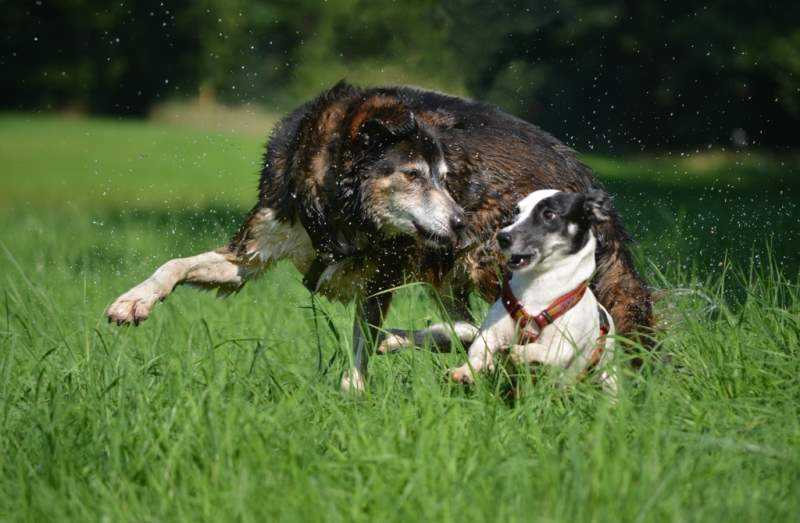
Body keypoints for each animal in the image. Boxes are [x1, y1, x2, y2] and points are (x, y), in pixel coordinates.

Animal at [450, 190, 620, 396]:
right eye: (516, 211)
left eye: (549, 214)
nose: (502, 237)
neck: (536, 293)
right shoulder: (492, 332)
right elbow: (478, 350)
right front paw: (465, 371)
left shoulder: (563, 347)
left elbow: (543, 351)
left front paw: (519, 352)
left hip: (607, 376)